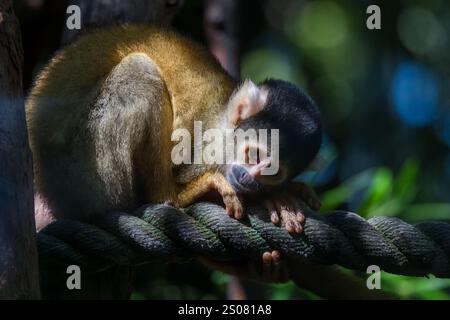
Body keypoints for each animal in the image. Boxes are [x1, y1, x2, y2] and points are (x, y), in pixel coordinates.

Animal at [28, 25, 322, 238]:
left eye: (272, 172)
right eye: (254, 155)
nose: (249, 179)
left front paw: (284, 192)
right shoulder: (211, 145)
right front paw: (278, 198)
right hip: (80, 169)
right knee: (138, 70)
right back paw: (171, 197)